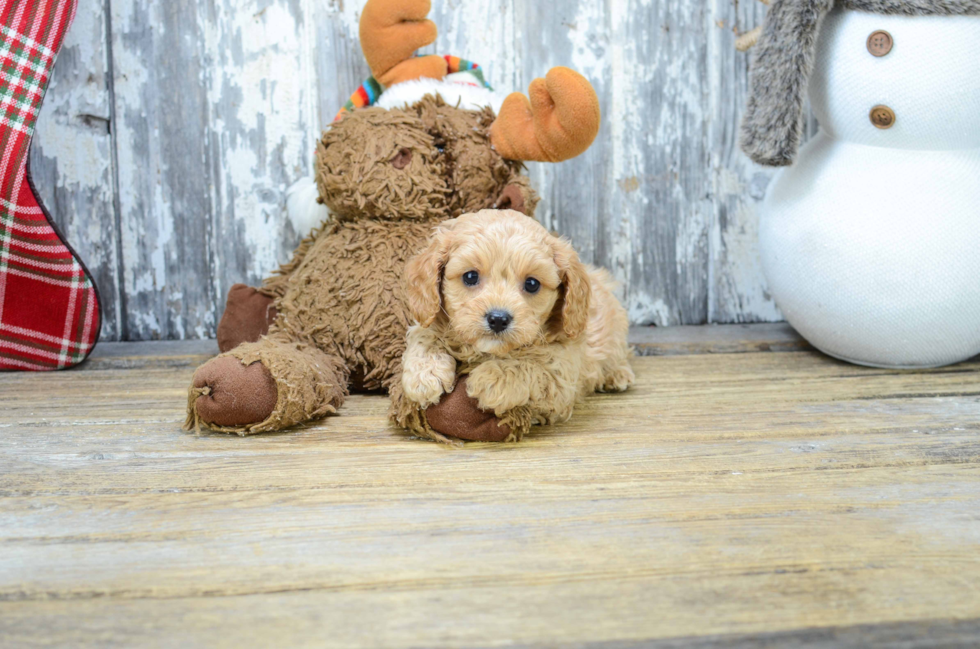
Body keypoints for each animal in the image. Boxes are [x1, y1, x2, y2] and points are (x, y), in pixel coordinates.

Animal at [400, 208, 636, 440]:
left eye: (532, 284)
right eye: (470, 276)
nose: (498, 319)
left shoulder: (562, 377)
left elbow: (532, 368)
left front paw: (491, 378)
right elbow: (424, 333)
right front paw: (425, 375)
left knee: (619, 353)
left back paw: (617, 375)